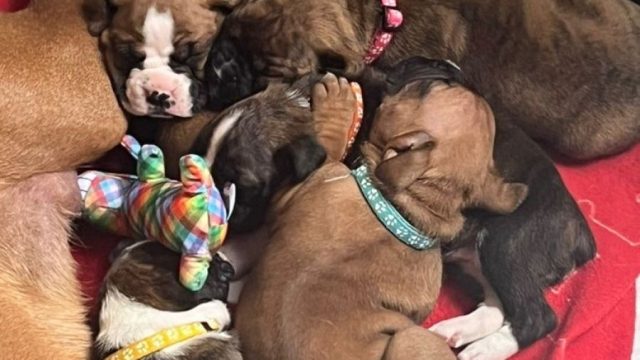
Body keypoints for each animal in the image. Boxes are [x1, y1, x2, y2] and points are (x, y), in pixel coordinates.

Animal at [232, 63, 528, 358]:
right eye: (438, 85)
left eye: (427, 88)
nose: (453, 67)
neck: (405, 209)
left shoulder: (304, 183)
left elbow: (330, 146)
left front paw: (337, 102)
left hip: (411, 337)